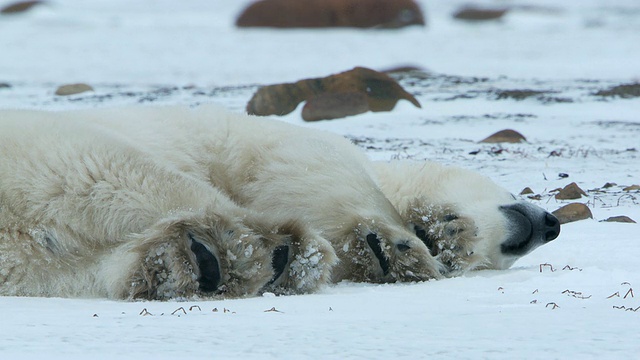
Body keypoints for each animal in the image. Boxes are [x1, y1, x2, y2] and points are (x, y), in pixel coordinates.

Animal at [0, 105, 560, 300]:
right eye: (511, 193)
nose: (548, 224)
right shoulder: (259, 142)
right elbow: (298, 169)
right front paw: (402, 245)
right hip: (50, 144)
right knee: (121, 173)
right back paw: (259, 248)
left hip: (28, 259)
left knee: (86, 264)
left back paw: (195, 261)